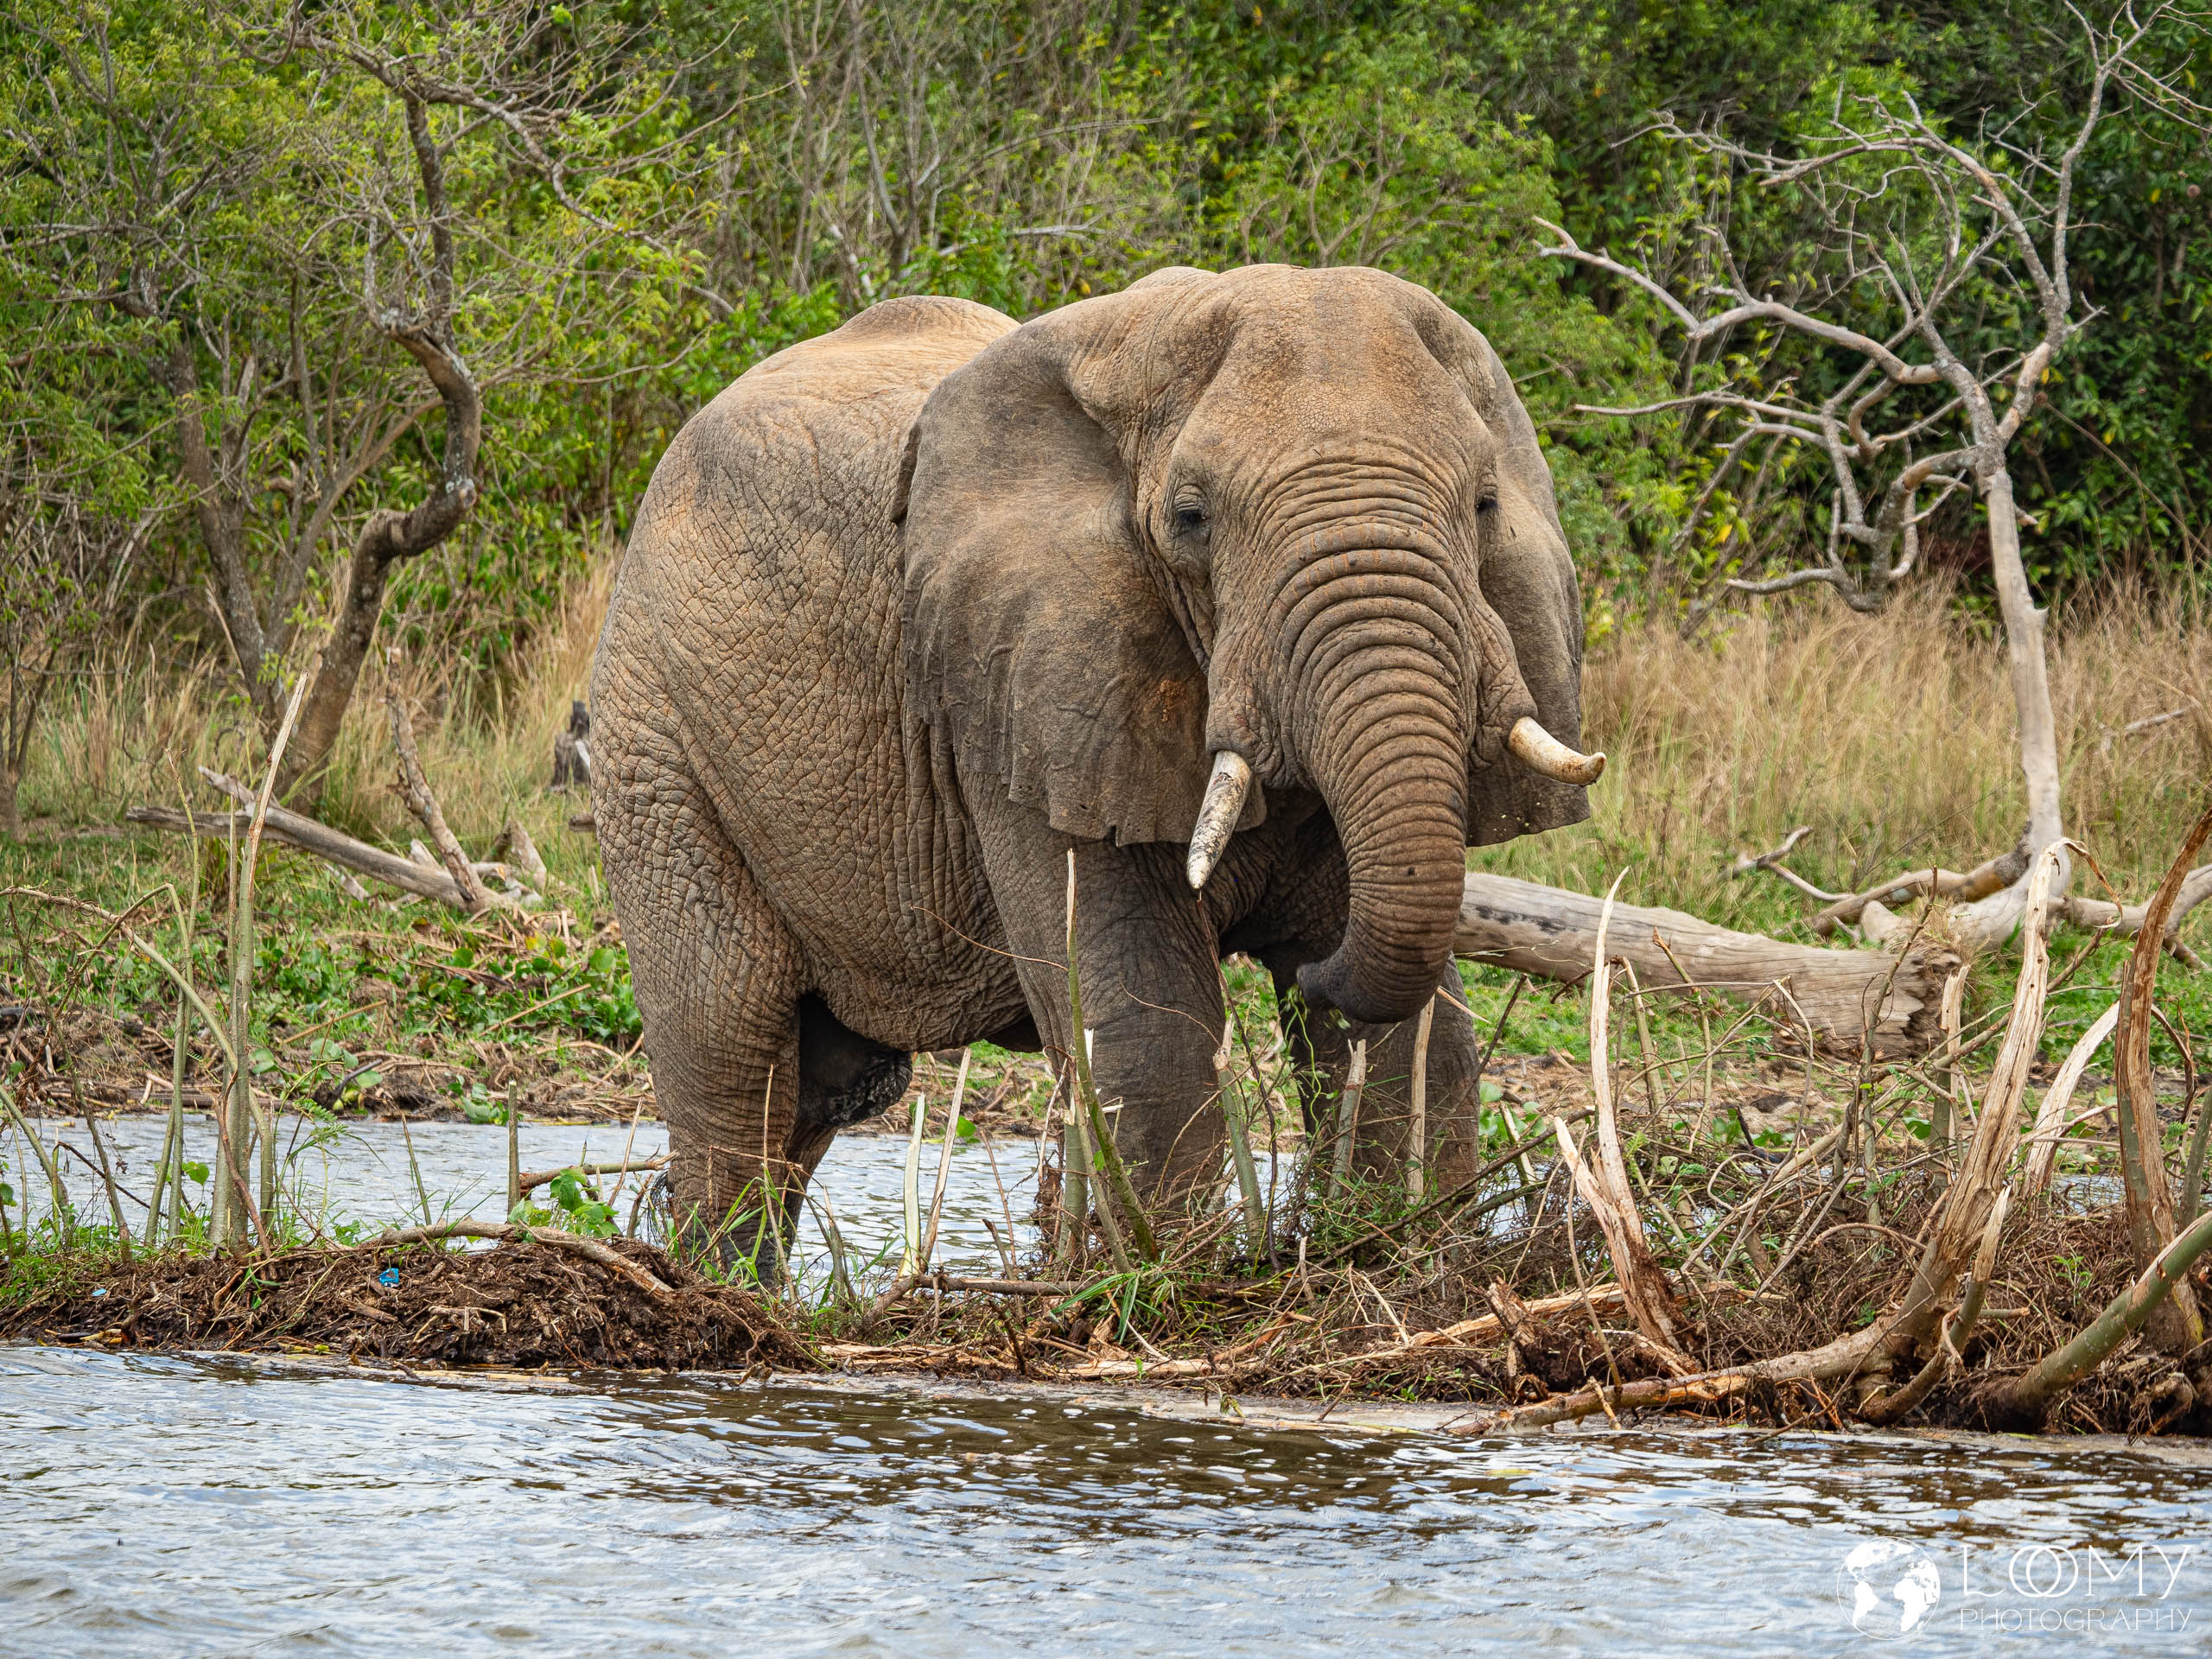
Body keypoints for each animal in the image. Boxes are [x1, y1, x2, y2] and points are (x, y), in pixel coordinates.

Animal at [589, 264, 1601, 1270]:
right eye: (1191, 518)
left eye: (1484, 506)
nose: (1313, 971)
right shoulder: (1010, 692)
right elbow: (1146, 1020)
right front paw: (1173, 1280)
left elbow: (1419, 1041)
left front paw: (1396, 1252)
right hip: (655, 746)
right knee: (731, 1054)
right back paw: (711, 1283)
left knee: (824, 1087)